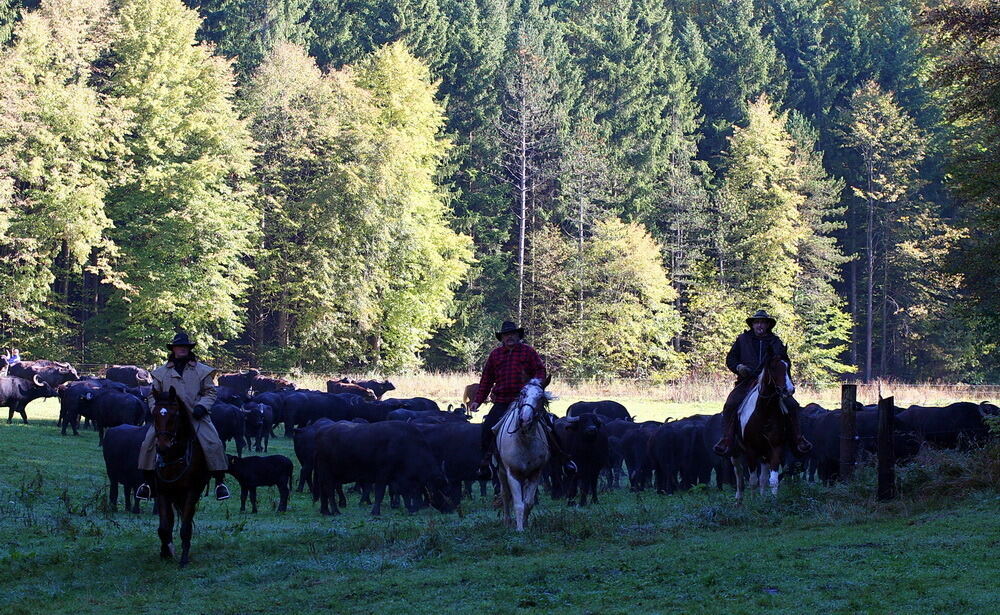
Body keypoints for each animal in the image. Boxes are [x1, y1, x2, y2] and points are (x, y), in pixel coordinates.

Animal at [149, 390, 208, 568]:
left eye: (174, 416)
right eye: (154, 414)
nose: (162, 447)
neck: (174, 457)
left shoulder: (191, 492)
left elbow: (185, 528)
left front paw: (184, 559)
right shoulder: (163, 492)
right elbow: (163, 527)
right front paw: (166, 551)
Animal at [494, 378, 552, 532]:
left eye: (541, 397)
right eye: (522, 393)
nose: (525, 419)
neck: (524, 441)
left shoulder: (535, 474)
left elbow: (528, 502)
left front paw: (525, 524)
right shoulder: (512, 474)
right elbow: (518, 503)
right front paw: (519, 529)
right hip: (501, 472)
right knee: (505, 495)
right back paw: (507, 522)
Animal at [732, 354, 792, 502]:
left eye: (788, 367)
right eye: (773, 368)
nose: (789, 390)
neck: (765, 412)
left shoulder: (775, 448)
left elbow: (772, 480)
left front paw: (772, 501)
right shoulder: (751, 450)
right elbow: (752, 480)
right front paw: (753, 502)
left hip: (764, 453)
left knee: (763, 477)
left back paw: (763, 497)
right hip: (735, 451)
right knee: (738, 472)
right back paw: (738, 499)